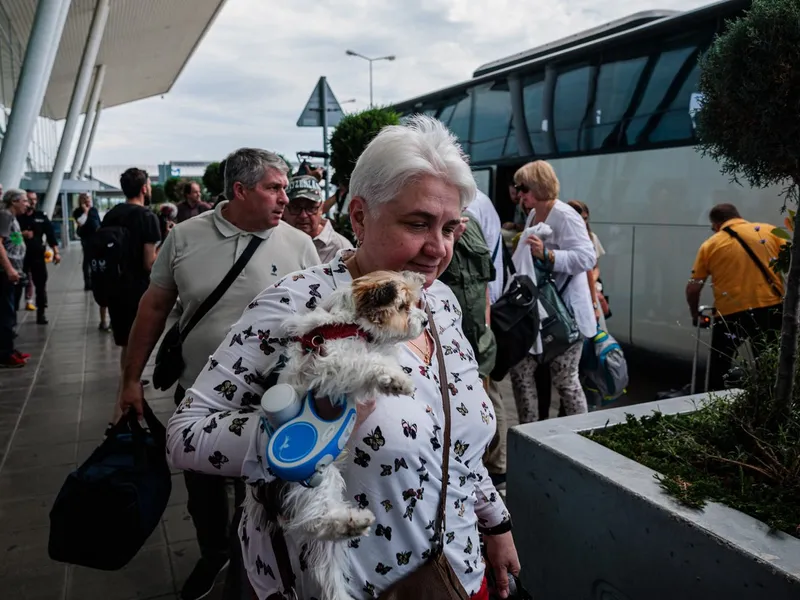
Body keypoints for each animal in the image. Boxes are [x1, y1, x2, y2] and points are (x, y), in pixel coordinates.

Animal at [248, 270, 428, 600]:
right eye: (403, 306)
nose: (423, 322)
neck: (350, 325)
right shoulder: (327, 362)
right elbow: (362, 363)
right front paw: (395, 379)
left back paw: (351, 525)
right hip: (310, 478)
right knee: (313, 520)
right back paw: (350, 522)